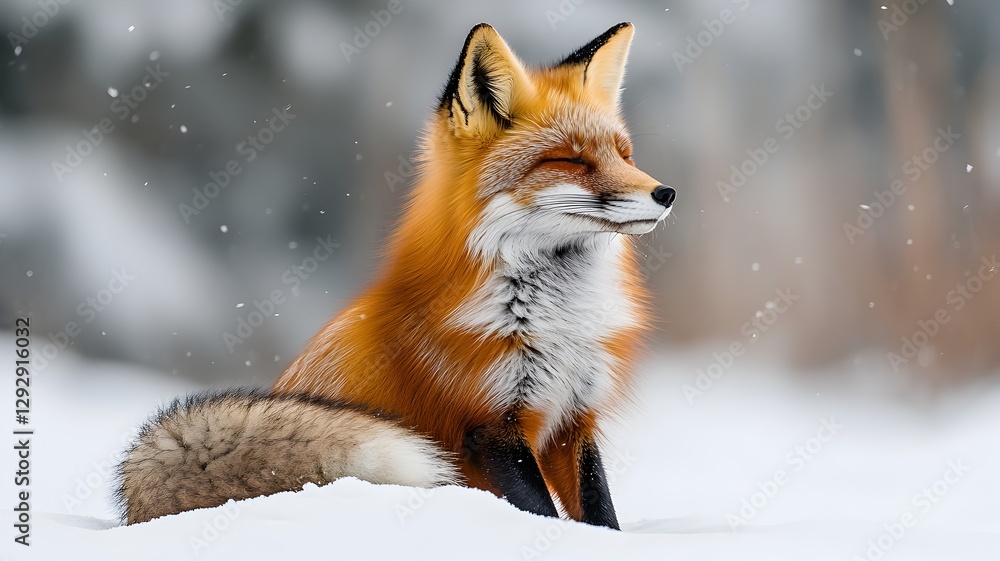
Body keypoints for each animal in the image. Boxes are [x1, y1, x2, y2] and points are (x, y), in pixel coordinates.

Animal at [117, 22, 675, 529]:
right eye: (570, 160)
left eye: (625, 154)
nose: (666, 193)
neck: (557, 324)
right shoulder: (489, 424)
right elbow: (541, 512)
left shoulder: (572, 418)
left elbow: (600, 512)